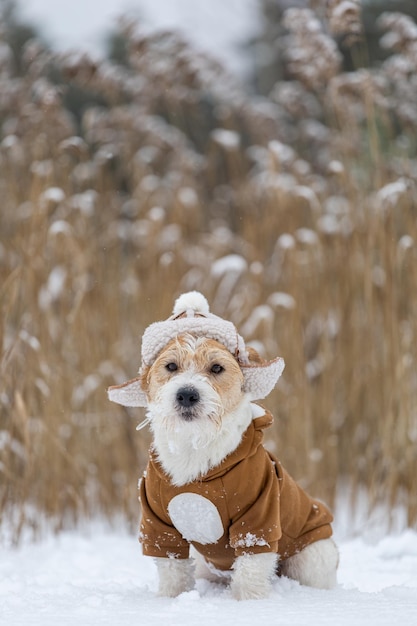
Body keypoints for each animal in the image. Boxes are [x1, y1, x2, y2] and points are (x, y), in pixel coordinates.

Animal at [108, 292, 338, 600]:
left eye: (216, 367)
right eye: (171, 366)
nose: (187, 394)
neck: (195, 447)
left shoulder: (259, 516)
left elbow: (251, 569)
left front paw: (249, 603)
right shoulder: (158, 523)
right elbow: (172, 570)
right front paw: (171, 600)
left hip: (311, 558)